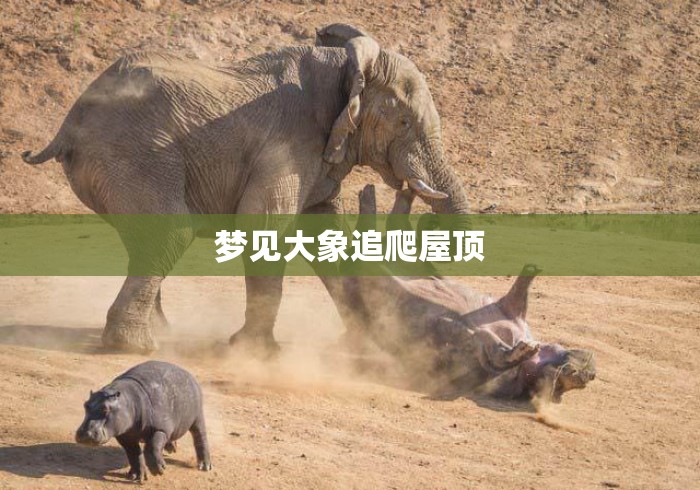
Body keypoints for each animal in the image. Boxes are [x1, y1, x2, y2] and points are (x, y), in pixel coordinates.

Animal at [21, 23, 469, 355]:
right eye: (405, 123)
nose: (409, 192)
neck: (348, 66)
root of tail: (69, 122)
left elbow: (323, 232)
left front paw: (365, 344)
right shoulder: (289, 142)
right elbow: (264, 225)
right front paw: (257, 353)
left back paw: (160, 334)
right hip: (132, 154)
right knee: (171, 232)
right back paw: (135, 347)